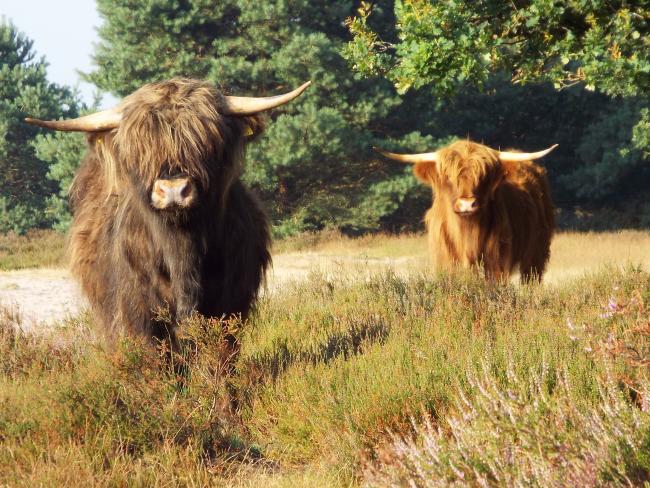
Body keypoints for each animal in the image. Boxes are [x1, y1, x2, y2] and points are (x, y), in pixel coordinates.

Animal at [25, 78, 308, 344]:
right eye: (140, 149)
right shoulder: (137, 312)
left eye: (206, 142)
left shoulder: (231, 304)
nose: (173, 190)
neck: (182, 251)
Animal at [378, 139, 556, 280]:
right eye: (449, 177)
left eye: (483, 177)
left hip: (536, 253)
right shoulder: (445, 261)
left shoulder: (495, 262)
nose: (467, 204)